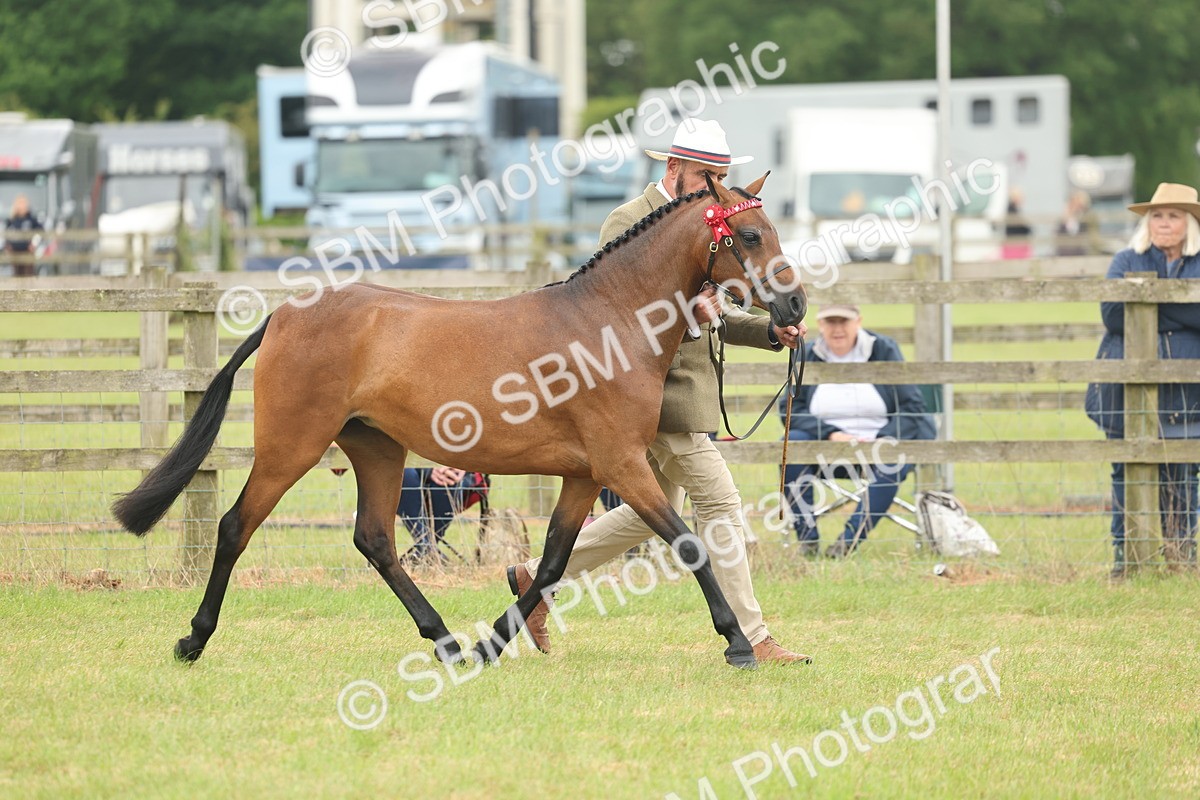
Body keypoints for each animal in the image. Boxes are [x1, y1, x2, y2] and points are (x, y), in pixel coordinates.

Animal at [112, 172, 807, 669]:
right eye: (749, 236)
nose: (795, 306)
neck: (608, 321)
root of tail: (284, 315)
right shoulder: (622, 465)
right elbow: (689, 543)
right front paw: (737, 642)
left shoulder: (586, 475)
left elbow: (551, 562)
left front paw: (491, 644)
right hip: (292, 447)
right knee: (234, 526)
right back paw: (193, 640)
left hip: (377, 450)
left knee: (375, 540)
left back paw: (445, 641)